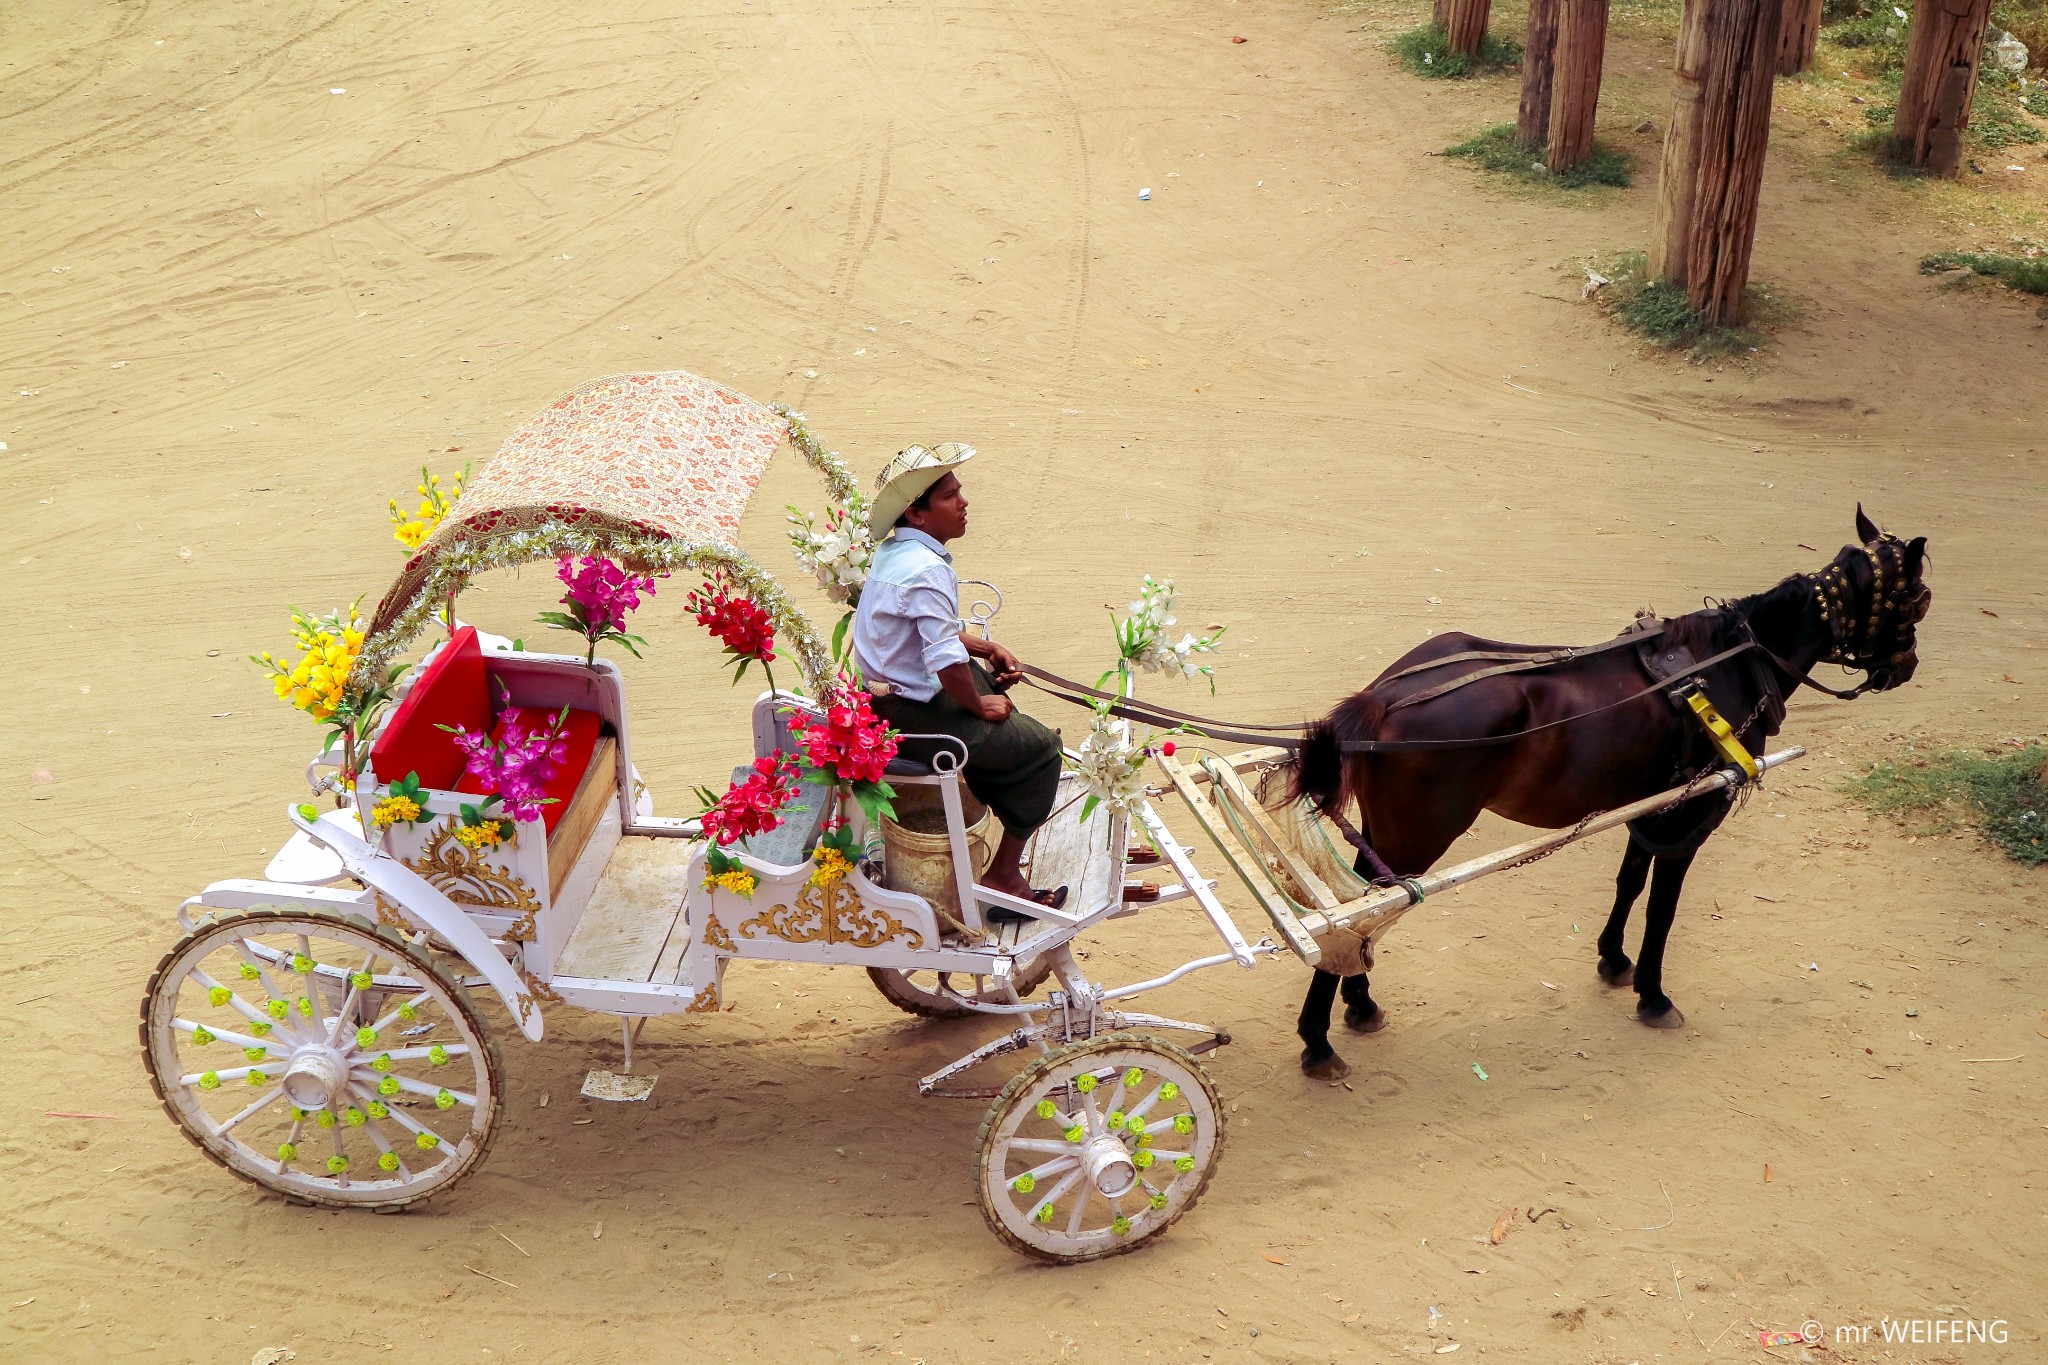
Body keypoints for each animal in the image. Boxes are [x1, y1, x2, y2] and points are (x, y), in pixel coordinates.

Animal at [1286, 507, 1925, 1080]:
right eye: (1920, 597)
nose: (1907, 667)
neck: (1732, 664)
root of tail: (1382, 697)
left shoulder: (1657, 804)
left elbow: (1630, 880)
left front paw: (1613, 959)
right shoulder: (1695, 810)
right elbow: (1663, 906)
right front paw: (1652, 994)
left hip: (1385, 833)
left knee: (1366, 906)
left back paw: (1359, 1004)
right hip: (1418, 834)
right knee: (1356, 916)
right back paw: (1317, 1041)